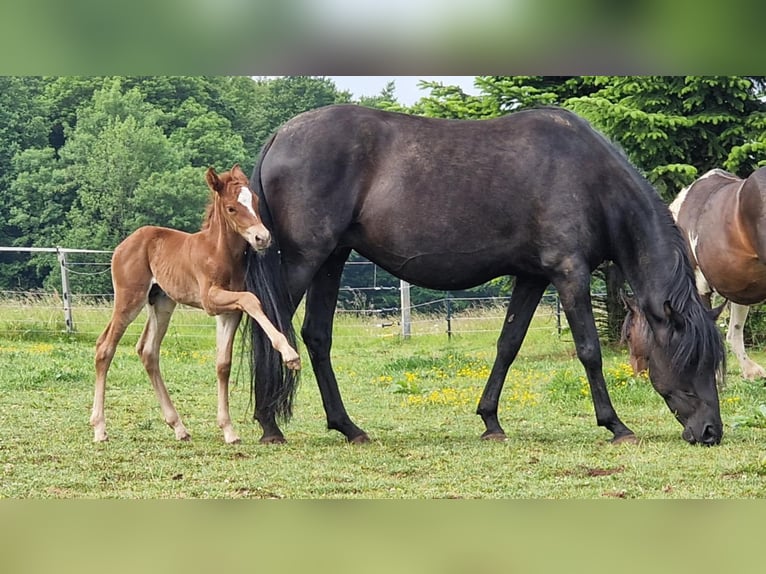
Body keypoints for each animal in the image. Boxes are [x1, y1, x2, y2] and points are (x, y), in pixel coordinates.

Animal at [90, 165, 301, 444]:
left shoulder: (228, 313)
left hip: (161, 303)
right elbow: (251, 299)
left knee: (148, 351)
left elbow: (223, 364)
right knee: (105, 347)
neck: (219, 252)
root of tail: (125, 244)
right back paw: (100, 428)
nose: (262, 238)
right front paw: (290, 355)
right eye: (232, 208)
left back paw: (178, 427)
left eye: (255, 202)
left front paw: (228, 430)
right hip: (129, 298)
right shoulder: (211, 300)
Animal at [245, 104, 726, 446]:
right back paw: (270, 426)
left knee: (316, 336)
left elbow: (508, 344)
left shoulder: (533, 277)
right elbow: (589, 350)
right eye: (692, 359)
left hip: (332, 258)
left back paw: (347, 426)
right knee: (271, 326)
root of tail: (279, 136)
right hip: (305, 259)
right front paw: (615, 425)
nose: (710, 433)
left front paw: (491, 420)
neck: (592, 179)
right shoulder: (569, 273)